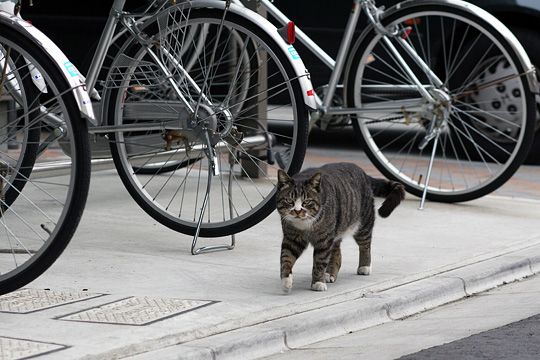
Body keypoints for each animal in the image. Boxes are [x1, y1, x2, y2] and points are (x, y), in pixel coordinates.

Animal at [276, 163, 402, 292]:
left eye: (306, 201)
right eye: (289, 200)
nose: (297, 211)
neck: (305, 225)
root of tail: (363, 172)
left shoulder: (324, 240)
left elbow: (319, 262)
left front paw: (317, 282)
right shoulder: (292, 238)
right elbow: (286, 258)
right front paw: (286, 281)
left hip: (363, 224)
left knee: (365, 245)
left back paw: (364, 266)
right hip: (336, 229)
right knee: (336, 252)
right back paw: (330, 273)